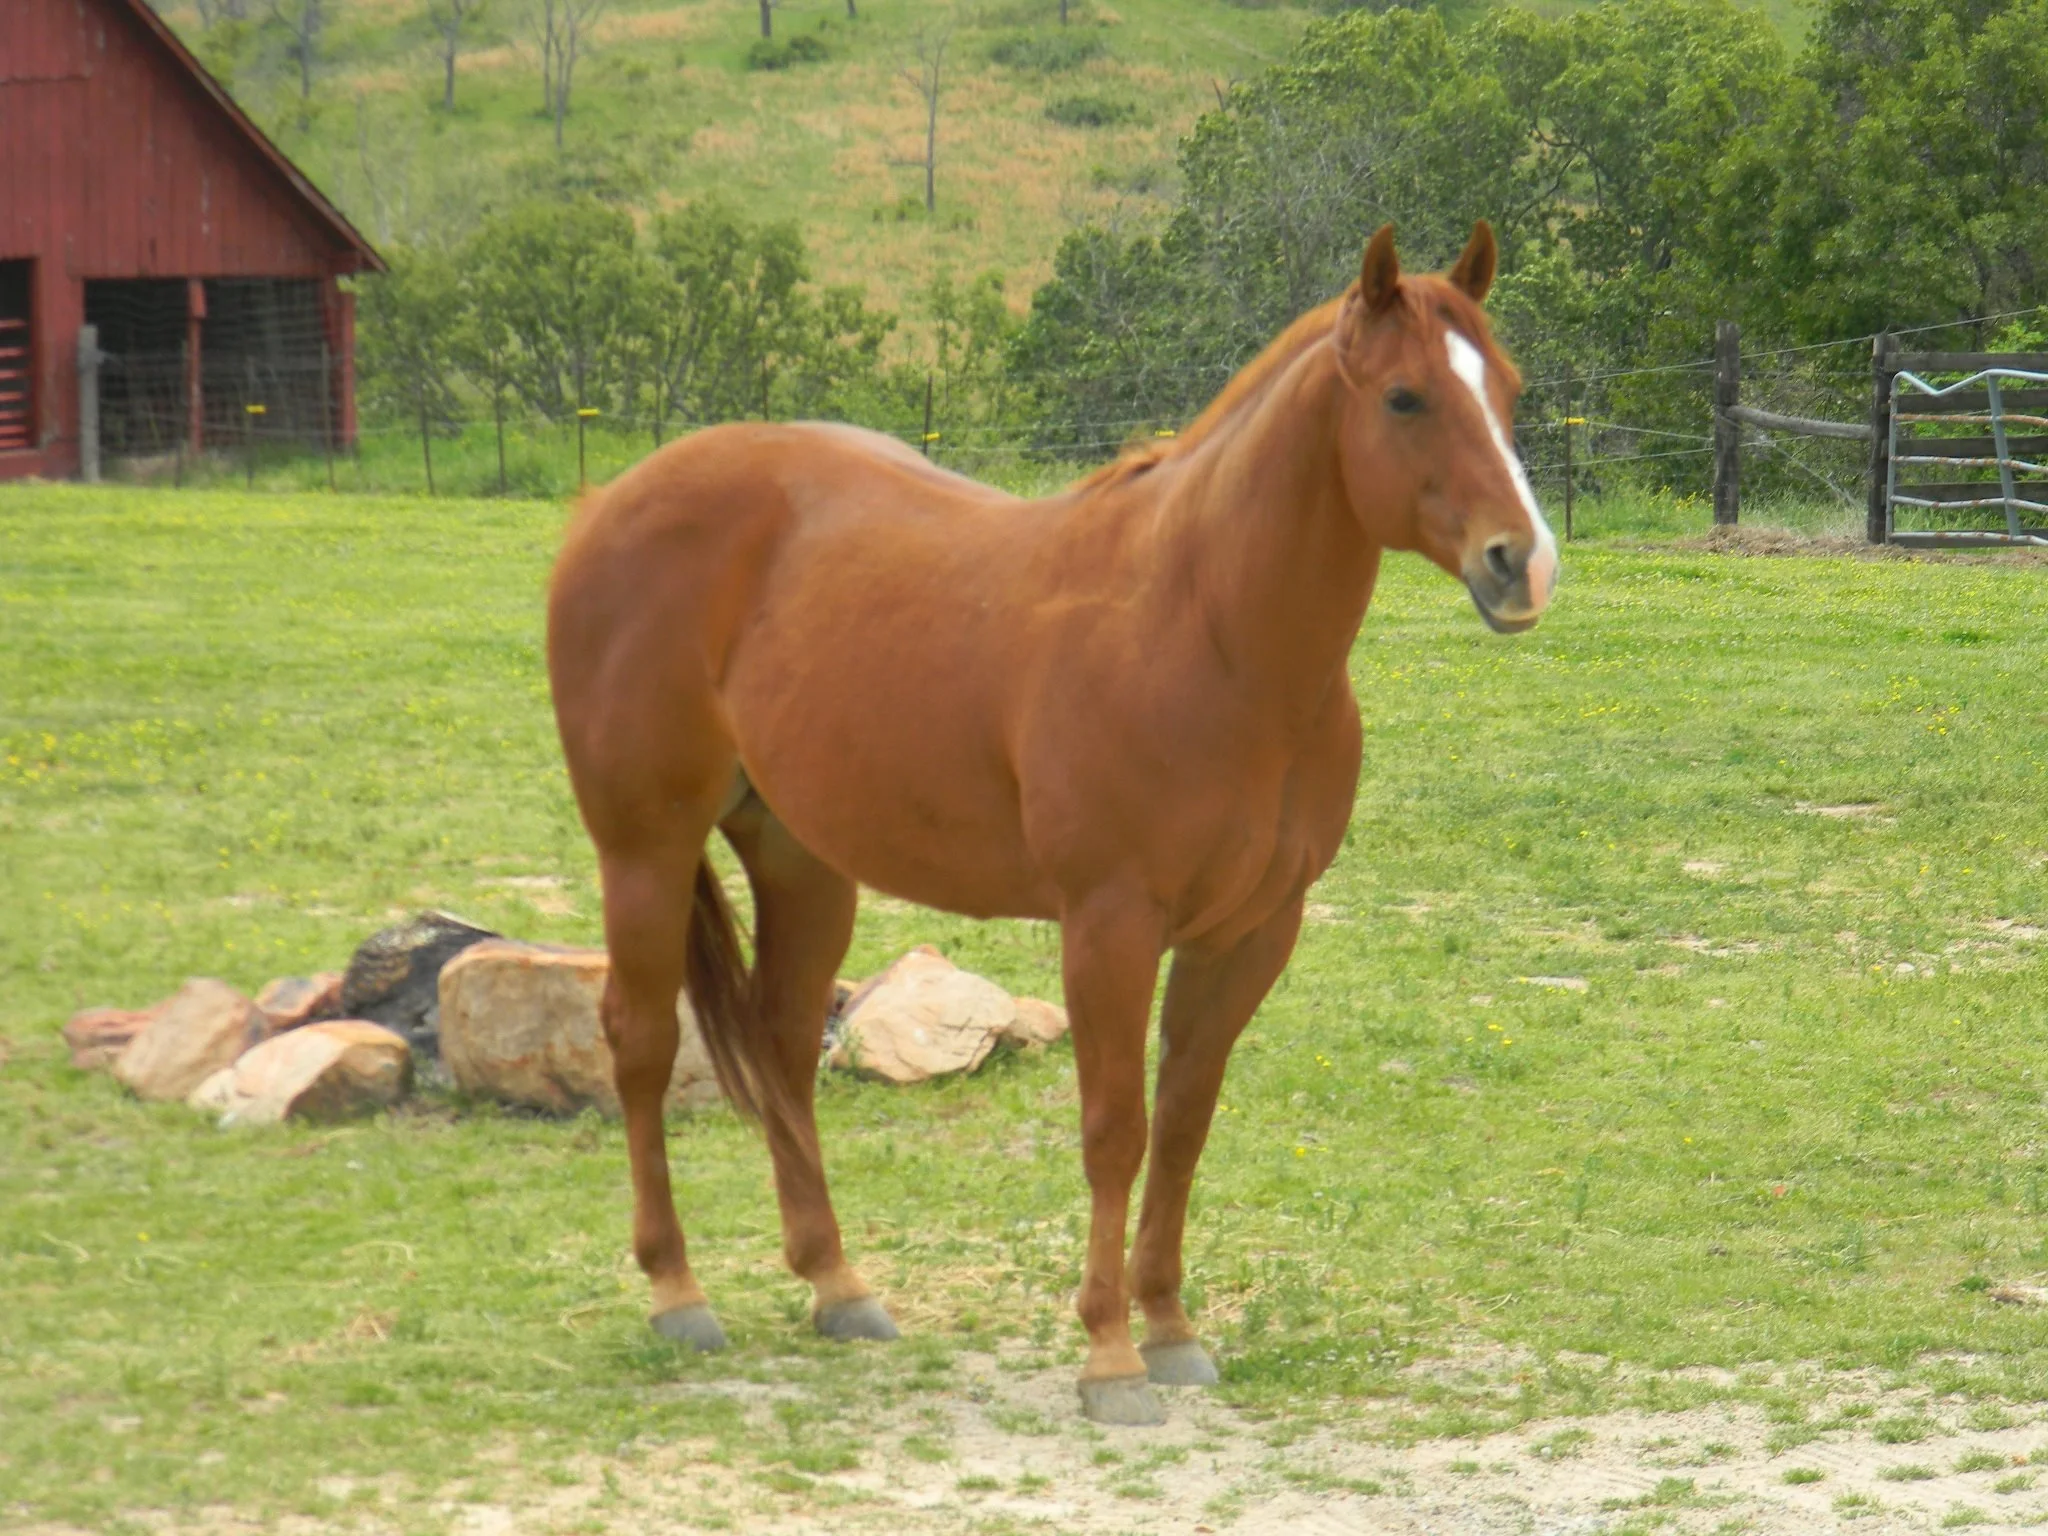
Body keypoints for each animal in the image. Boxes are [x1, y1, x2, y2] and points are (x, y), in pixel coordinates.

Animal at [546, 220, 1557, 1426]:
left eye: (1507, 390)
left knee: (784, 1043)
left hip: (805, 864)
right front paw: (1110, 1357)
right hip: (643, 851)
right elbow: (1114, 1130)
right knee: (642, 1043)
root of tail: (605, 504)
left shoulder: (1248, 934)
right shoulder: (1109, 925)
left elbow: (1182, 1123)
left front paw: (1170, 1328)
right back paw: (676, 1293)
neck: (1209, 631)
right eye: (1405, 398)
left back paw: (837, 1284)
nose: (1522, 563)